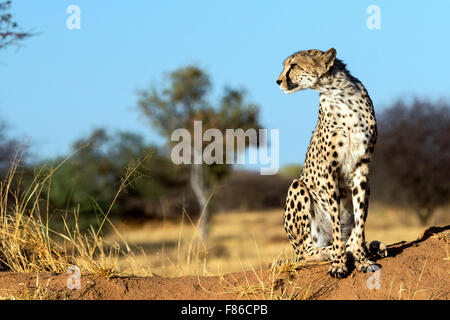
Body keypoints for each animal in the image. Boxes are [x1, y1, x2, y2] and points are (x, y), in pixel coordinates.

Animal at [278, 47, 380, 278]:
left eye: (293, 65)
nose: (278, 80)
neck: (340, 95)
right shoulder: (330, 171)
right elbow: (336, 223)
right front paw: (339, 263)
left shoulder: (361, 168)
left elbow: (360, 220)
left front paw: (362, 259)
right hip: (298, 186)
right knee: (306, 252)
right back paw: (329, 251)